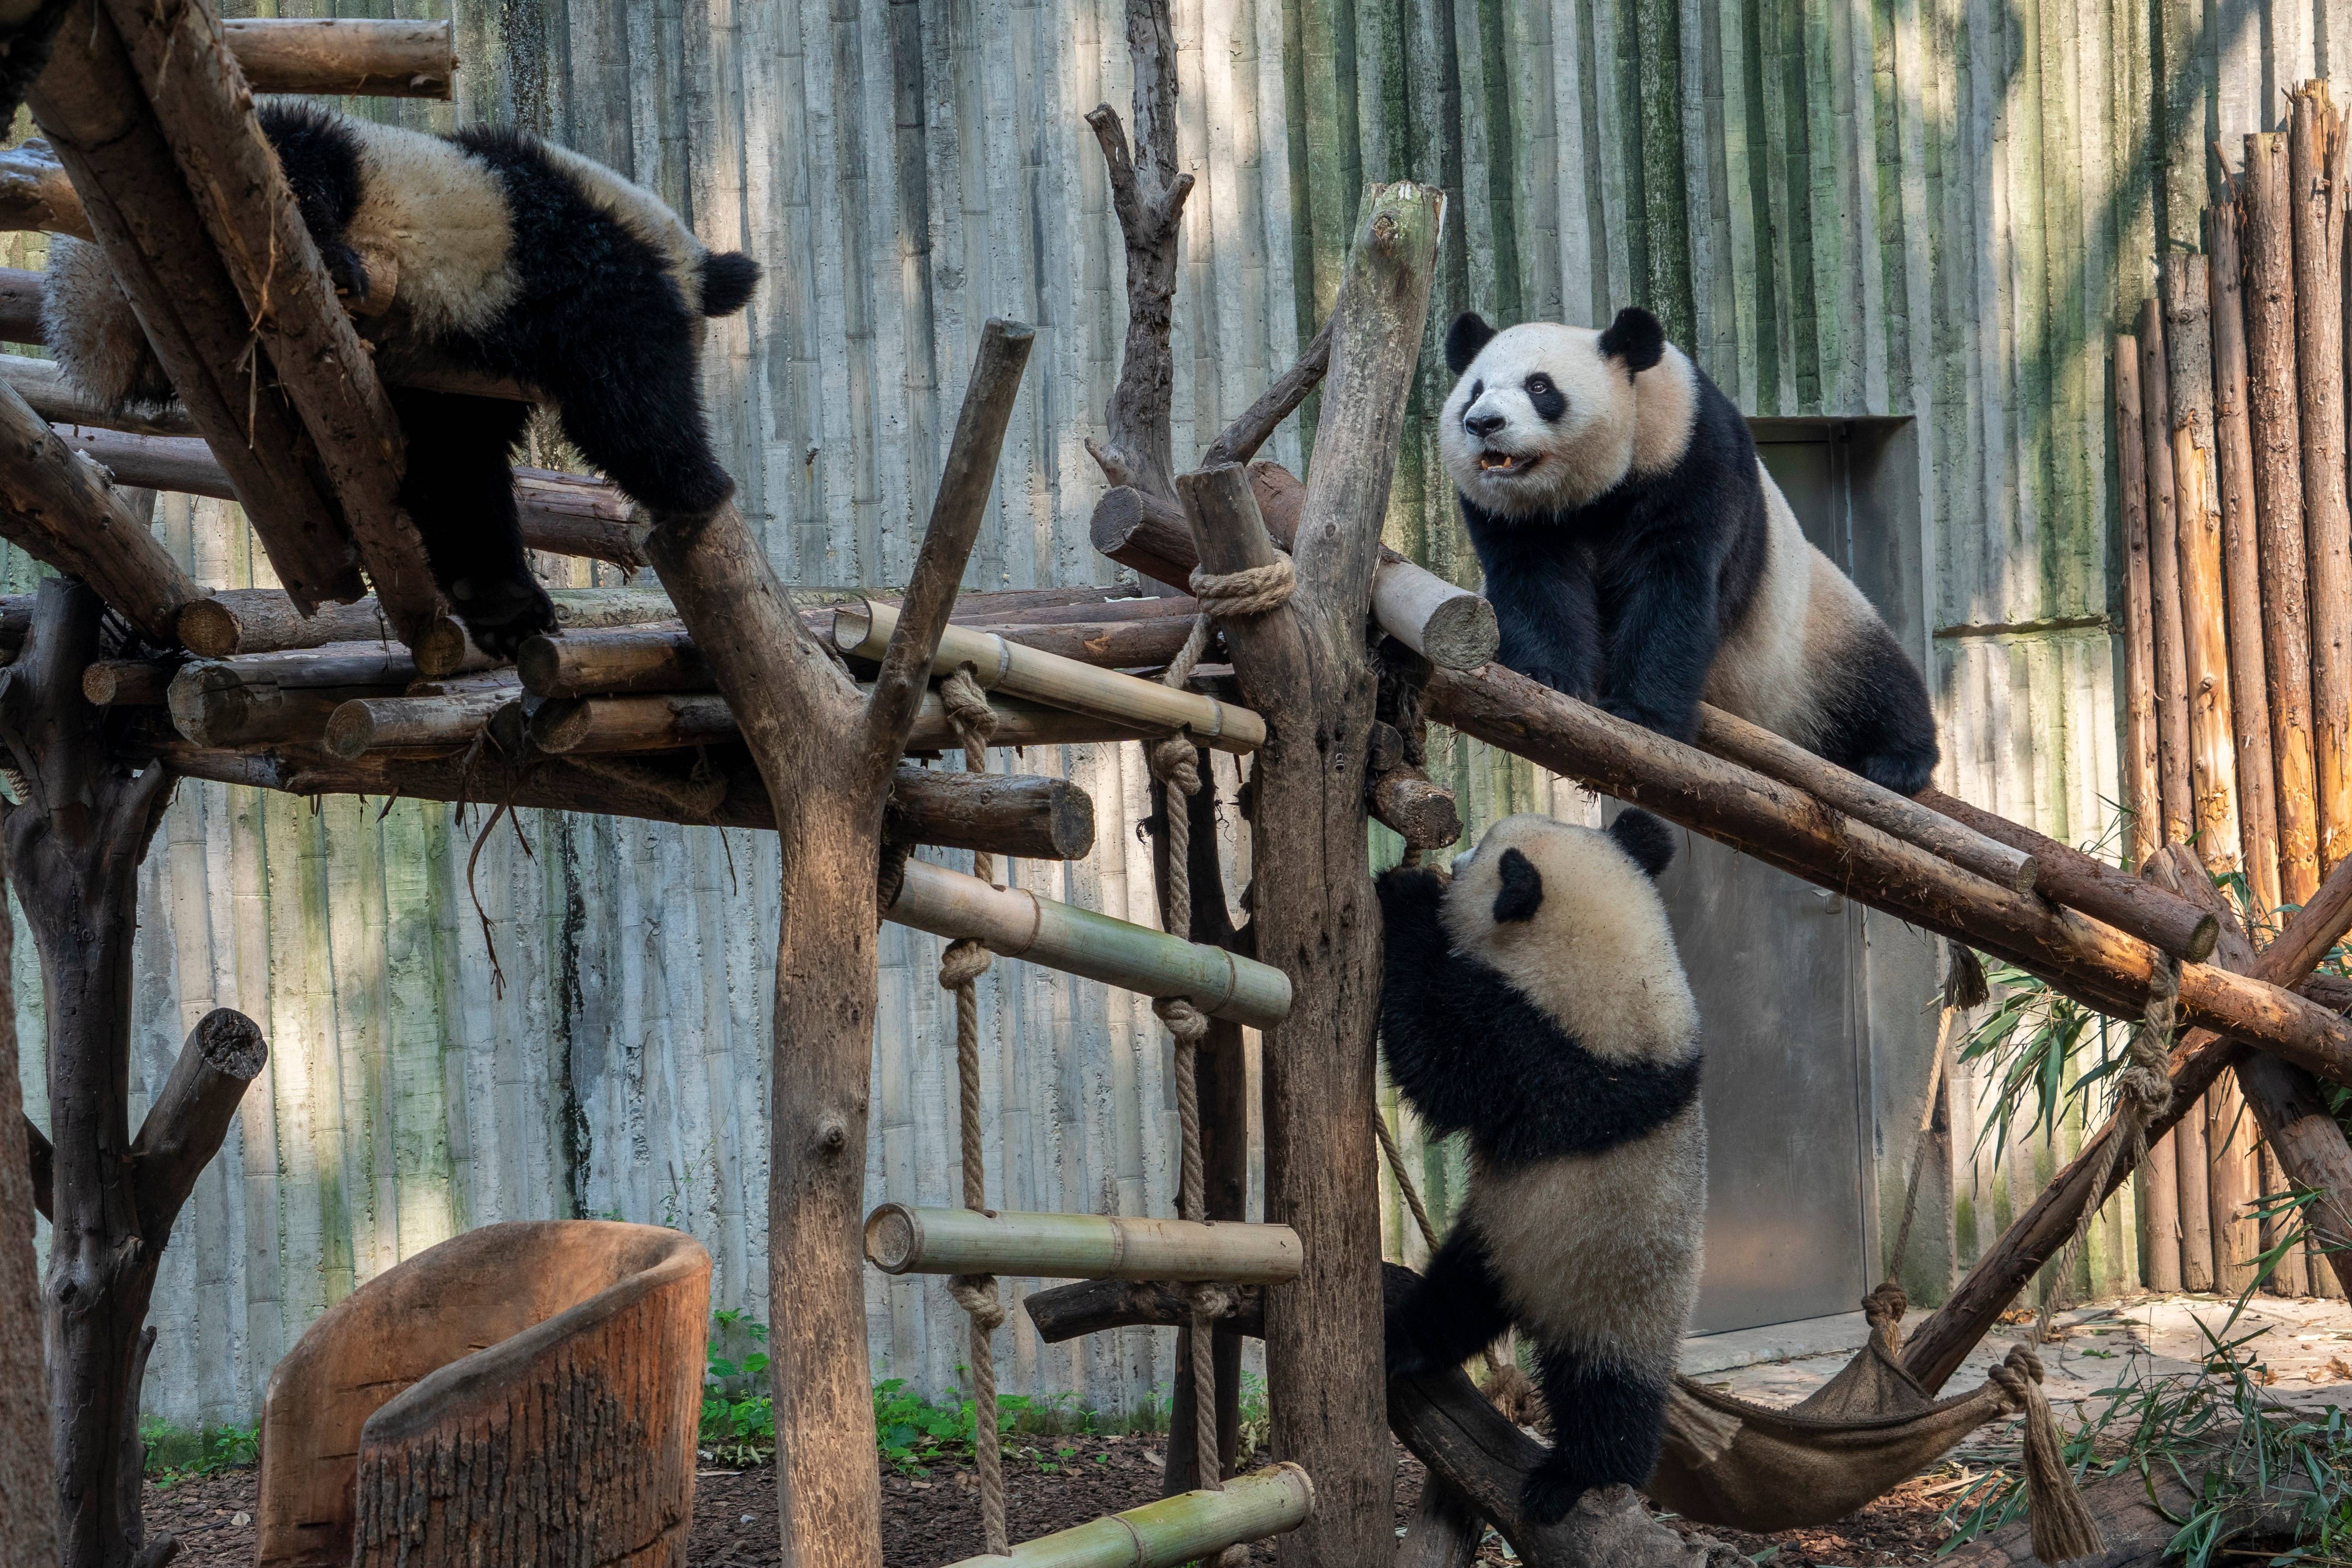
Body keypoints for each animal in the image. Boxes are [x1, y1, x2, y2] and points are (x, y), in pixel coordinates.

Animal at [46, 102, 757, 658]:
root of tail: (98, 303)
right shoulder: (588, 277)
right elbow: (625, 397)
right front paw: (703, 487)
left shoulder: (461, 369)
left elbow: (455, 462)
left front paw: (500, 604)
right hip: (288, 169)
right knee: (304, 161)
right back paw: (334, 264)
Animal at [1373, 818, 1712, 1523]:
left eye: (1479, 852)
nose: (1454, 859)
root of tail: (1531, 1306)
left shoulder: (1545, 1065)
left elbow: (1438, 1057)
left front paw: (1407, 893)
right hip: (1498, 1243)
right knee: (1457, 1296)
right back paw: (1407, 1342)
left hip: (1615, 1298)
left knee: (1609, 1395)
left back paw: (1576, 1478)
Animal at [1439, 305, 1938, 799]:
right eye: (1475, 391)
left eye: (1540, 387)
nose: (1483, 423)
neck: (1592, 493)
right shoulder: (1516, 517)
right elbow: (1535, 581)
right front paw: (1548, 678)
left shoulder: (1692, 460)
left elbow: (1672, 587)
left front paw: (1642, 714)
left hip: (1815, 629)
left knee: (1878, 683)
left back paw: (1898, 762)